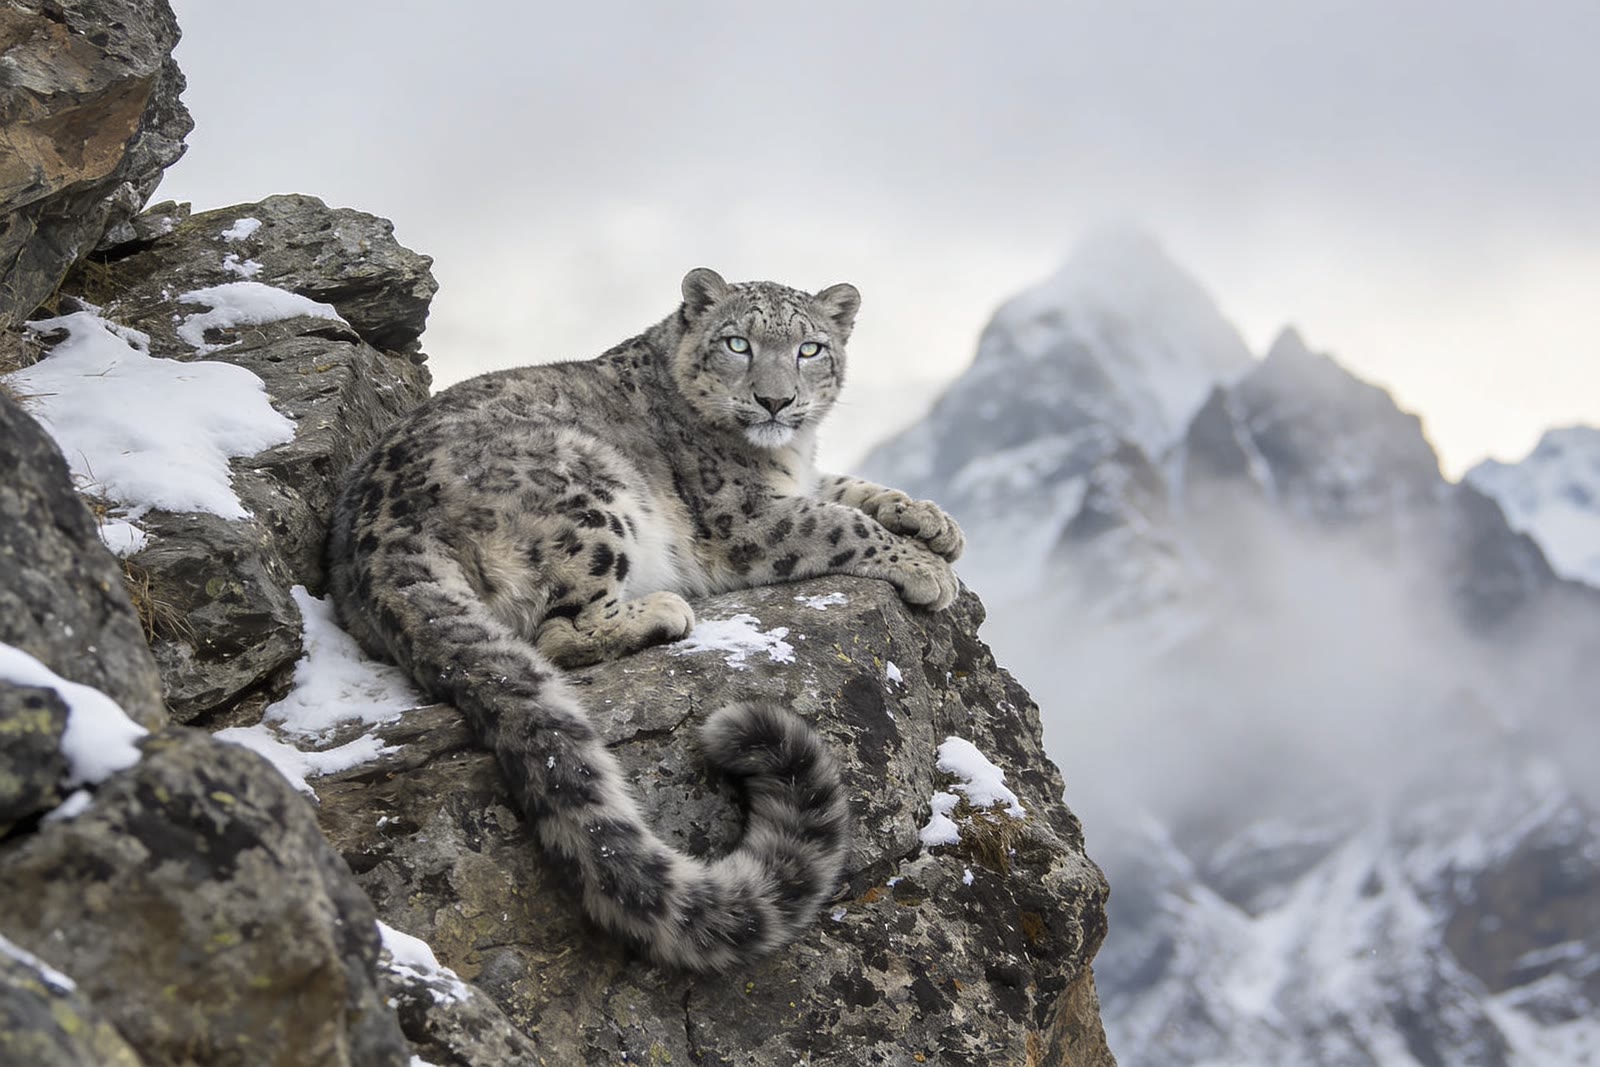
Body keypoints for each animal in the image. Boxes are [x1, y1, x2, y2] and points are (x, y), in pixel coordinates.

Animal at [326, 267, 964, 972]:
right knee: (556, 631)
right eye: (737, 343)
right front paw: (925, 567)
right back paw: (662, 611)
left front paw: (934, 522)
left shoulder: (801, 479)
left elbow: (847, 488)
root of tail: (375, 541)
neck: (786, 455)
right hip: (591, 495)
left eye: (810, 348)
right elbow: (840, 521)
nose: (775, 401)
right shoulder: (748, 518)